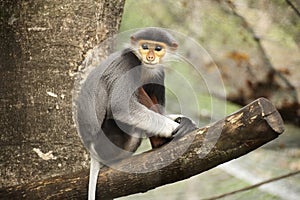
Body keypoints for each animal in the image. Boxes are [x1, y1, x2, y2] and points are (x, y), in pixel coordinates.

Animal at [74, 27, 197, 200]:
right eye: (144, 46)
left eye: (157, 49)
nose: (150, 57)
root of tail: (92, 152)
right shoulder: (128, 61)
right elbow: (121, 107)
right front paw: (175, 127)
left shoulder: (159, 72)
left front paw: (183, 120)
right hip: (108, 141)